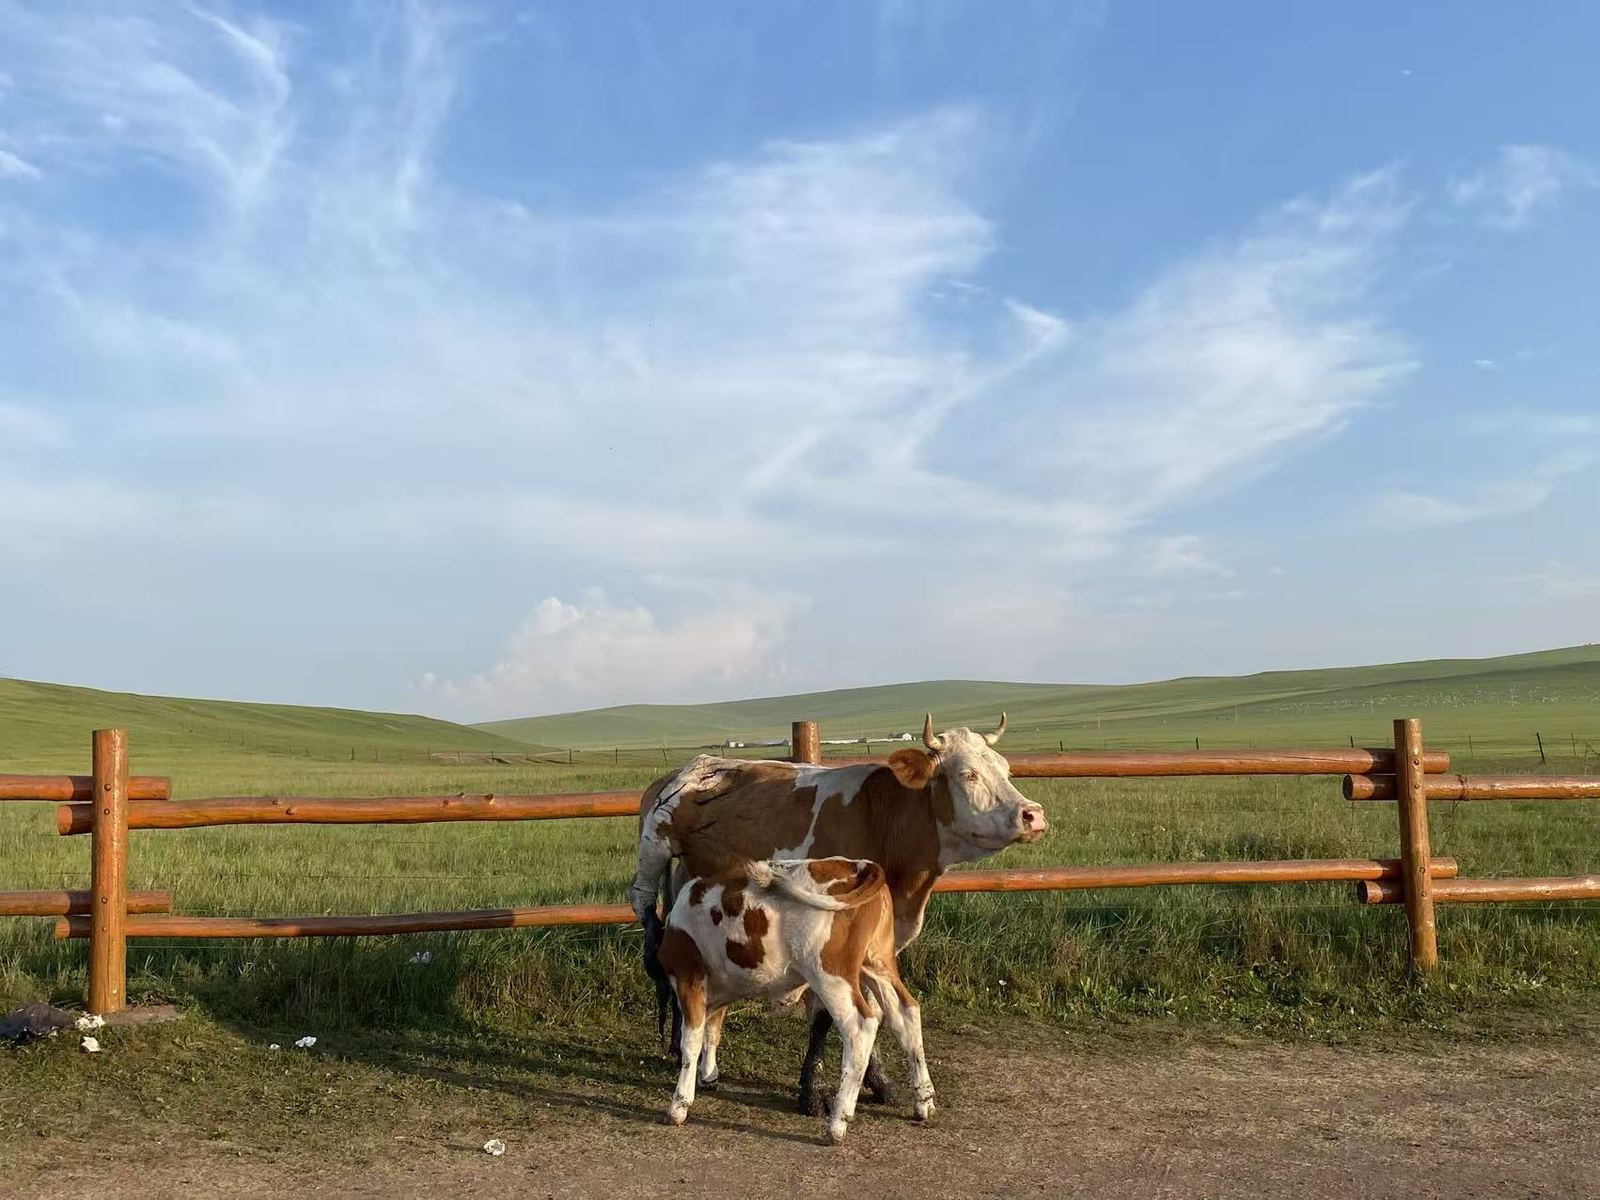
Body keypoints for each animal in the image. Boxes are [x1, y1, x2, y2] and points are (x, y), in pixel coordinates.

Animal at [630, 713, 1047, 1113]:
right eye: (968, 773)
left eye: (1006, 769)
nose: (1033, 814)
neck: (881, 818)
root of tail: (690, 767)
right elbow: (824, 1019)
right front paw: (811, 1091)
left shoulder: (878, 944)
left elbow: (877, 1009)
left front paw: (878, 1082)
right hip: (652, 857)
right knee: (651, 924)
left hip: (692, 877)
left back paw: (699, 1060)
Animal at [658, 856, 934, 1143]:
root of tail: (857, 865)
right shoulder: (719, 990)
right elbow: (712, 1033)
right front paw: (708, 1076)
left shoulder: (689, 979)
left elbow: (691, 1042)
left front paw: (679, 1105)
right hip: (878, 963)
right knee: (906, 1013)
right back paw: (923, 1102)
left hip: (831, 975)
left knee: (860, 1027)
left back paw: (838, 1122)